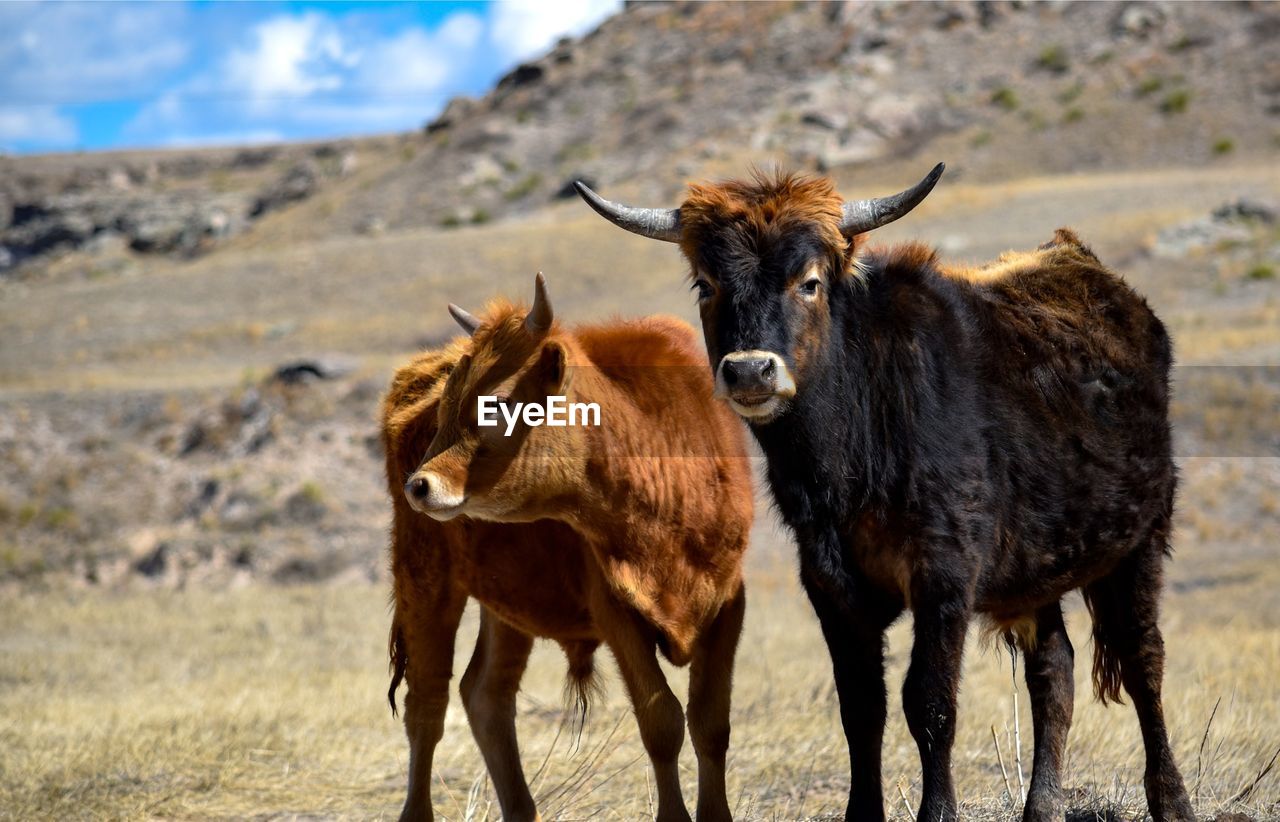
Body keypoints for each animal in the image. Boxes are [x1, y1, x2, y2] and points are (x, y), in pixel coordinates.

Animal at [384, 276, 752, 819]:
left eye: (496, 403)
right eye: (448, 405)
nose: (420, 485)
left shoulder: (727, 600)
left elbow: (711, 722)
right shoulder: (615, 609)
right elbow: (661, 721)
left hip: (507, 600)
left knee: (486, 694)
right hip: (425, 578)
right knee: (427, 705)